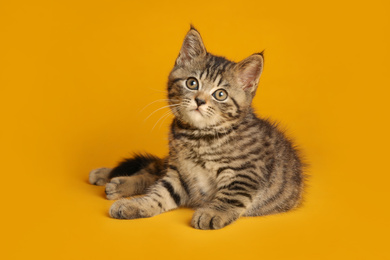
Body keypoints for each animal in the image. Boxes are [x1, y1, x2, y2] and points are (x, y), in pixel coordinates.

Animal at [88, 26, 304, 230]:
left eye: (220, 94)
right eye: (192, 83)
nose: (199, 100)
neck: (199, 136)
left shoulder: (247, 173)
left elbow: (230, 197)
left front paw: (212, 213)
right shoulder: (180, 173)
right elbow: (158, 194)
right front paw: (135, 204)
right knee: (154, 168)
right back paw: (109, 177)